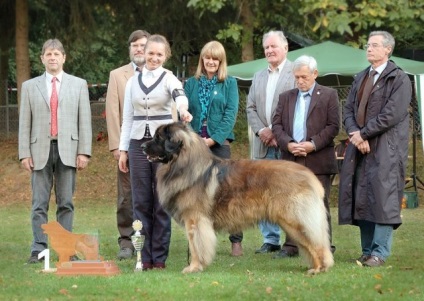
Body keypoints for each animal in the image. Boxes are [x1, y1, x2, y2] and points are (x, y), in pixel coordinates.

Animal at [142, 122, 334, 274]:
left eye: (158, 138)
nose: (142, 146)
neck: (183, 164)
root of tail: (309, 175)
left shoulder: (195, 220)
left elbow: (196, 247)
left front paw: (194, 267)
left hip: (295, 220)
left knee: (316, 243)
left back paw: (318, 268)